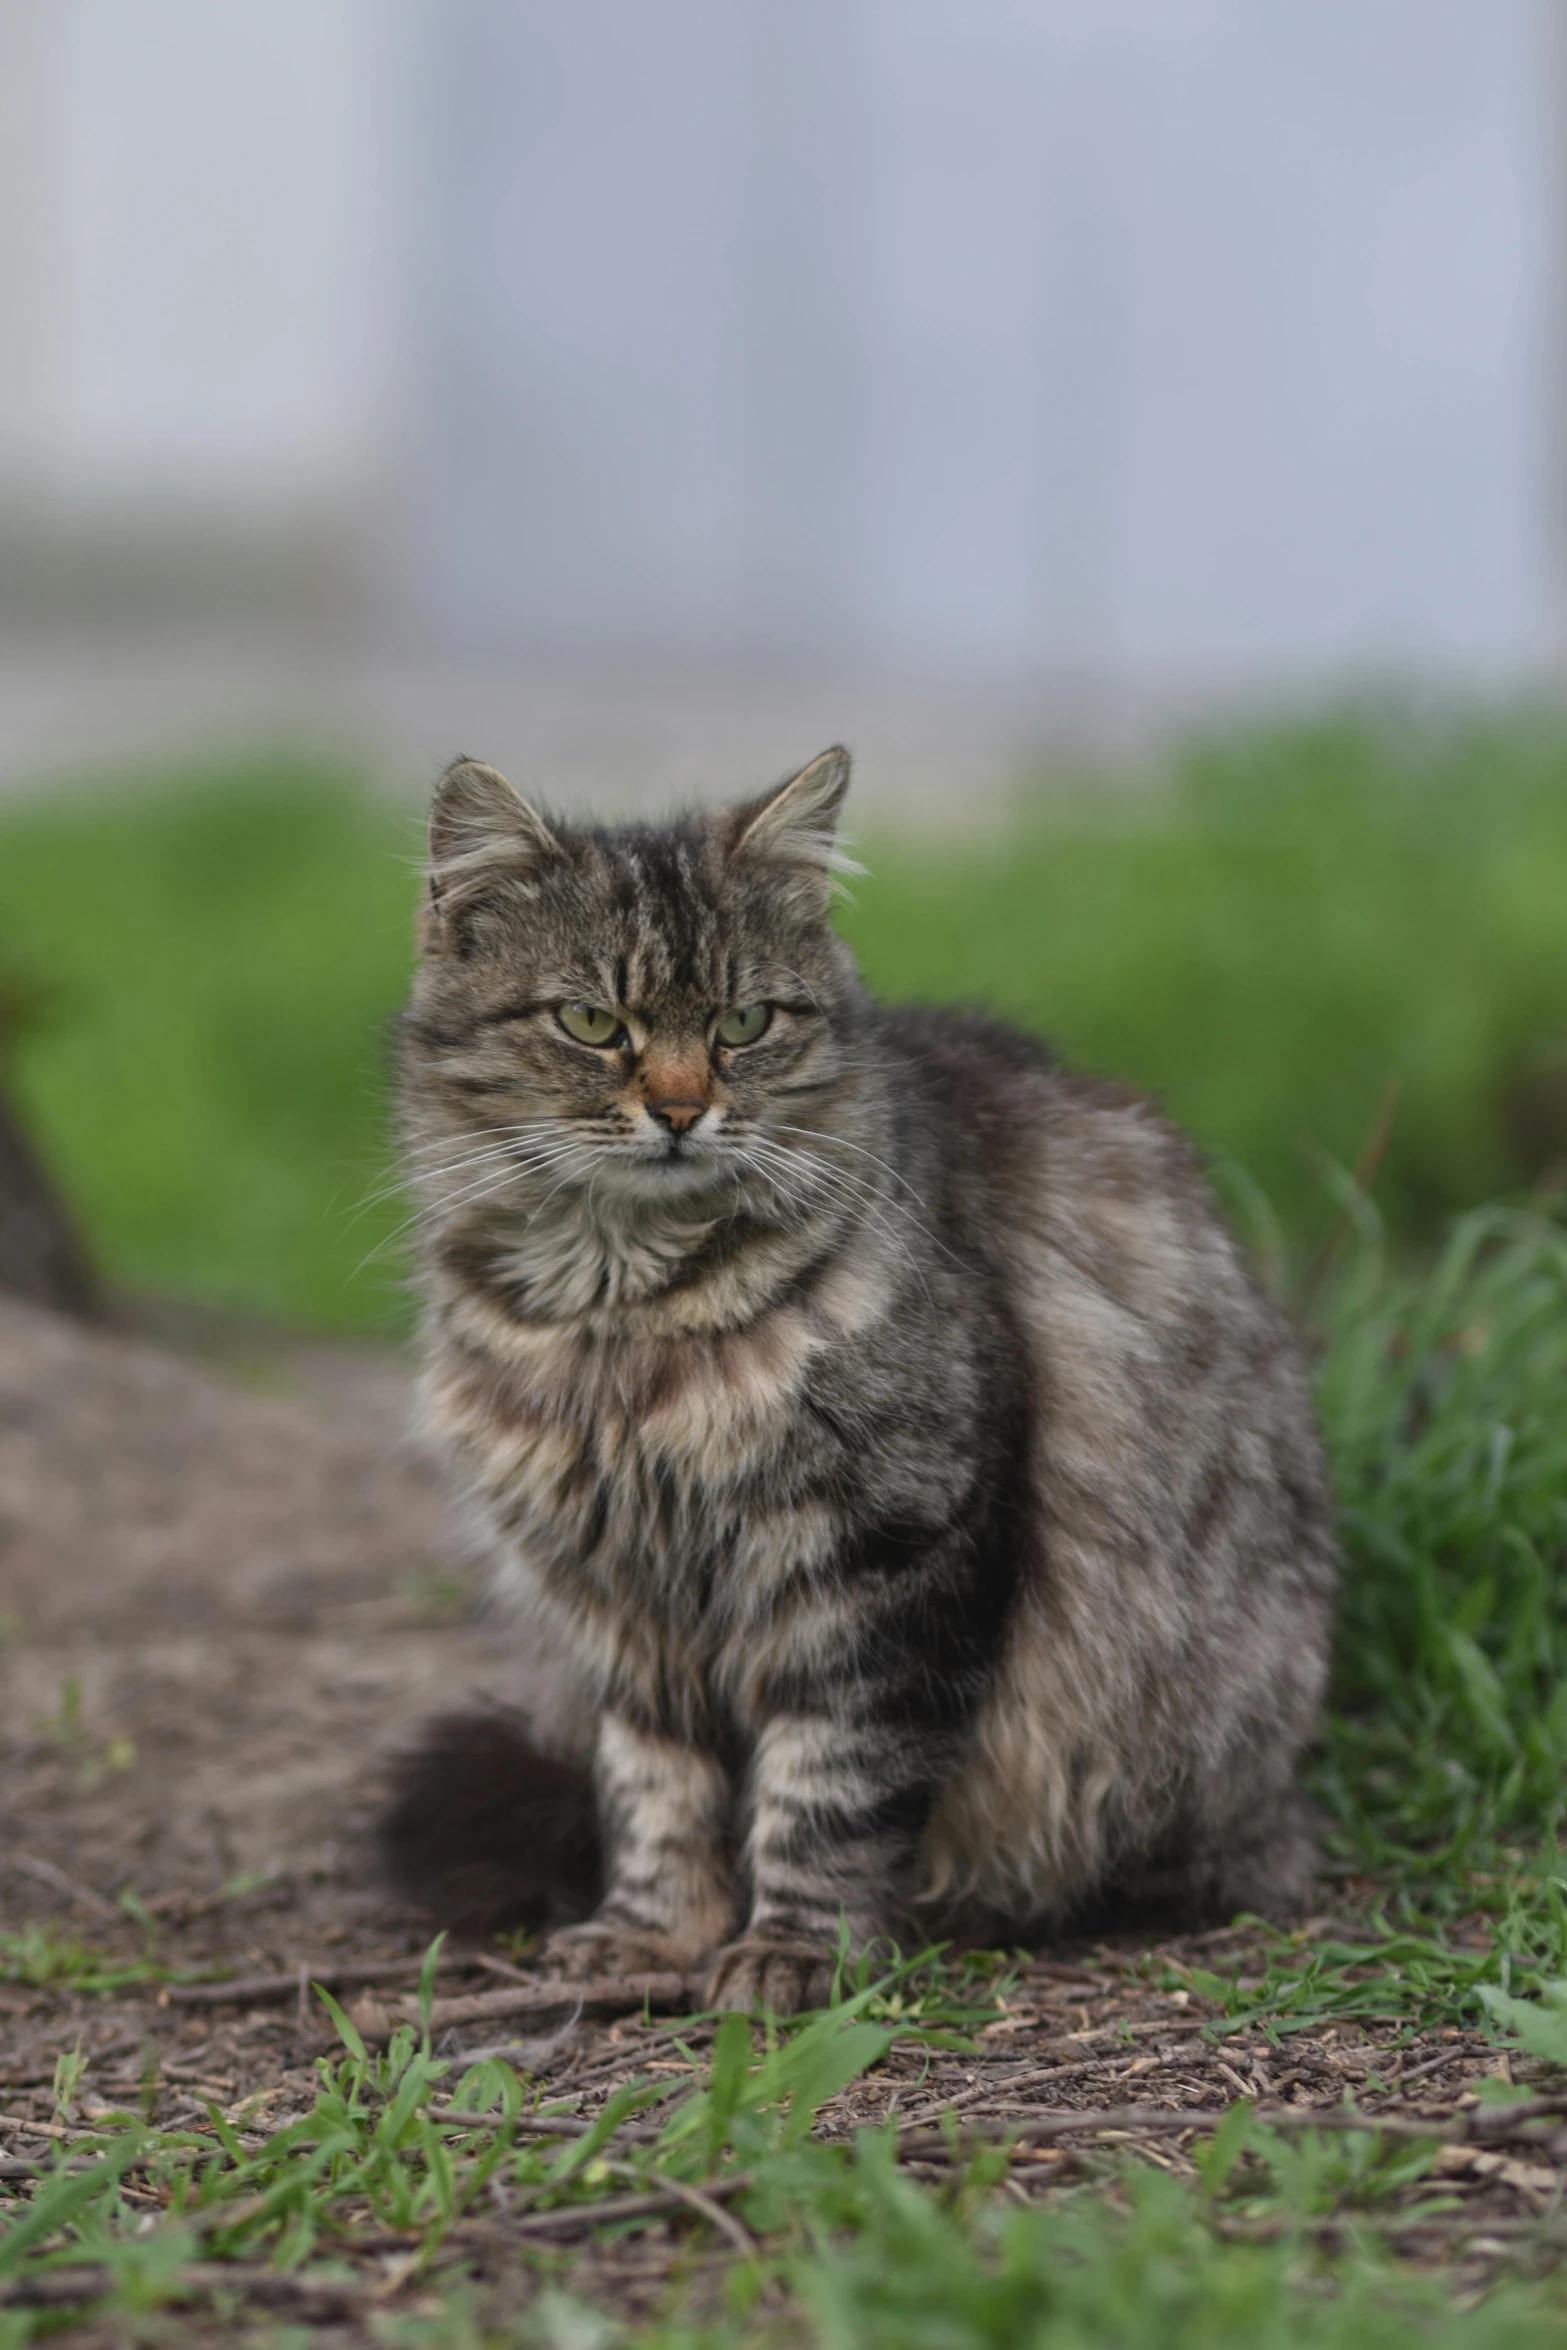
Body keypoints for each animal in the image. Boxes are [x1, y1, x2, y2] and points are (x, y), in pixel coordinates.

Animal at [385, 742, 1343, 2011]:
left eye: (742, 1021)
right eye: (593, 1022)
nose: (681, 1110)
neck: (622, 1317)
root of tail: (1287, 1804)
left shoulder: (883, 1553)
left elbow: (827, 1786)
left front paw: (792, 1953)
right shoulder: (622, 1596)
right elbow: (654, 1789)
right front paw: (652, 1935)